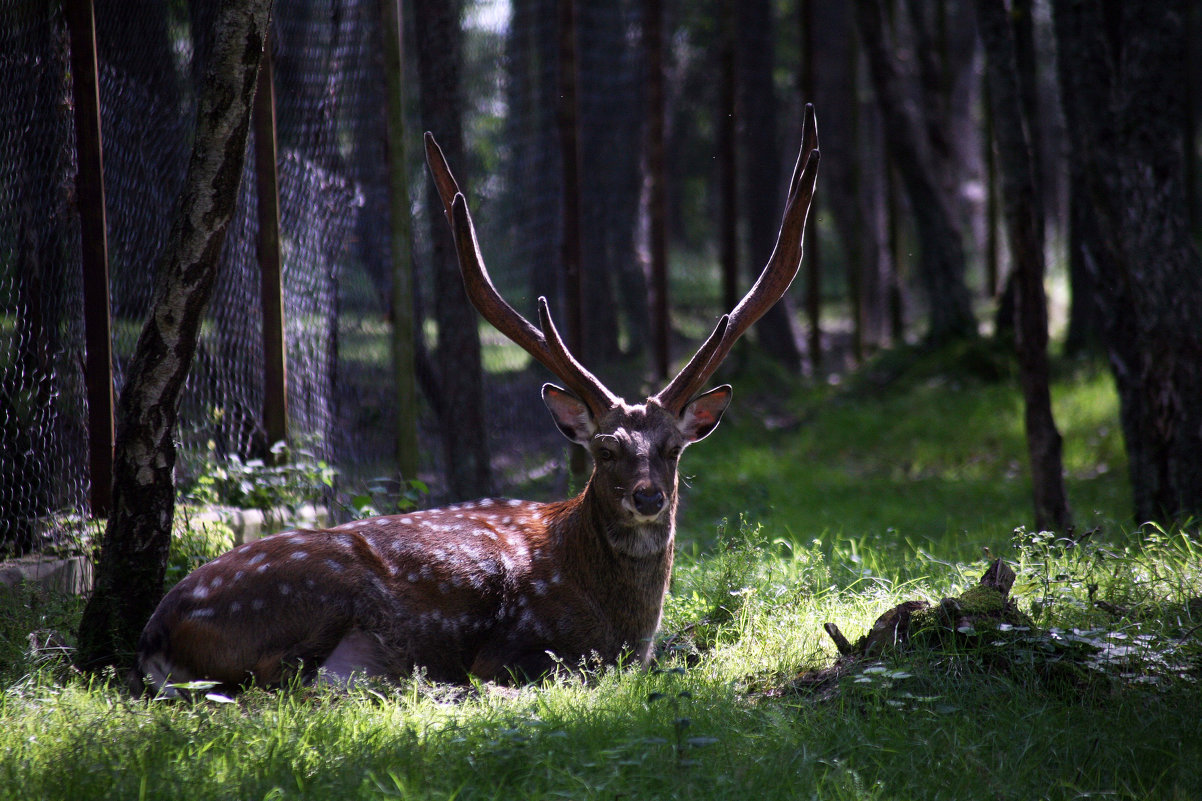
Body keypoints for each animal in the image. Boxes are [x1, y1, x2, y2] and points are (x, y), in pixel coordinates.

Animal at [136, 105, 822, 692]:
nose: (648, 496)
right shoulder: (517, 644)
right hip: (309, 602)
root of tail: (154, 632)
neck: (619, 622)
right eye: (604, 449)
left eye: (672, 449)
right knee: (285, 684)